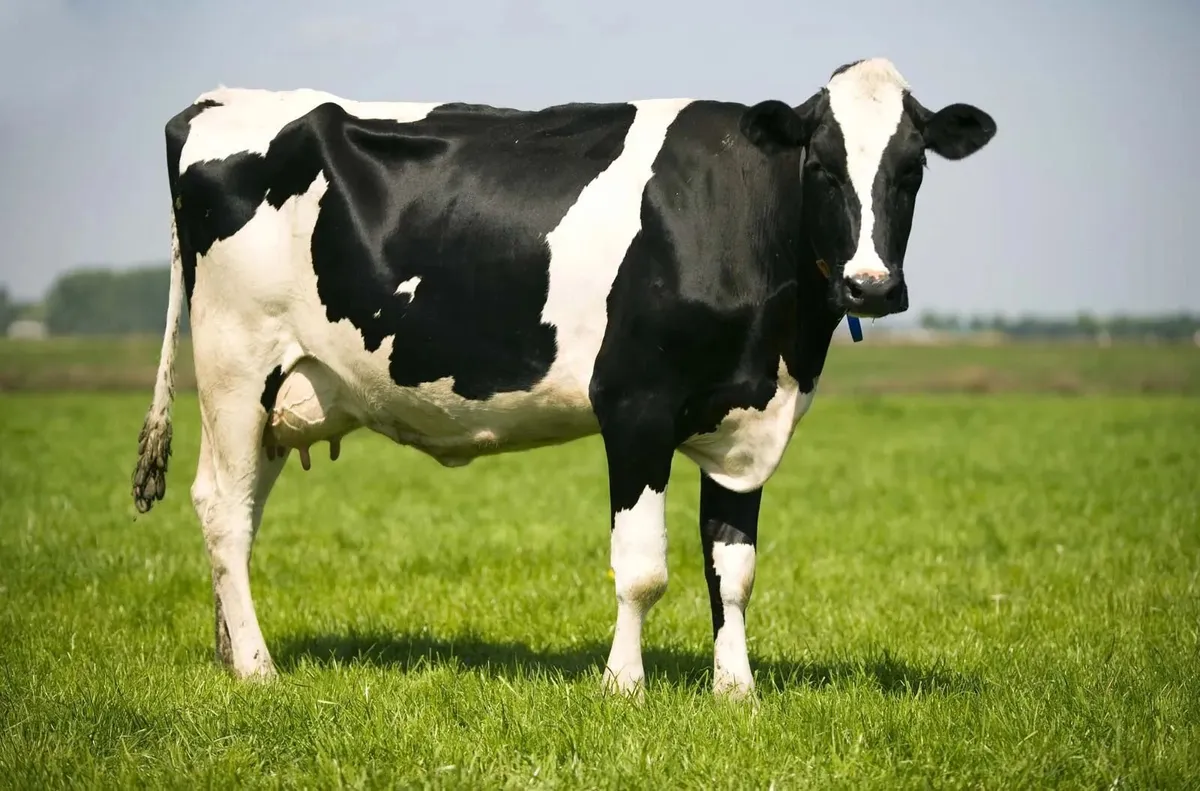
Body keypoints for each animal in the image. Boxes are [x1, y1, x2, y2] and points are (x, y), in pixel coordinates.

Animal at [131, 57, 995, 699]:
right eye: (823, 165)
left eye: (912, 169)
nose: (870, 285)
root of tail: (219, 100)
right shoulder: (636, 406)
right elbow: (643, 568)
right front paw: (624, 686)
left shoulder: (747, 421)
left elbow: (734, 568)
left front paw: (736, 690)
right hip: (236, 361)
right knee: (222, 508)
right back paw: (257, 667)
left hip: (285, 389)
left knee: (242, 512)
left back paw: (230, 652)